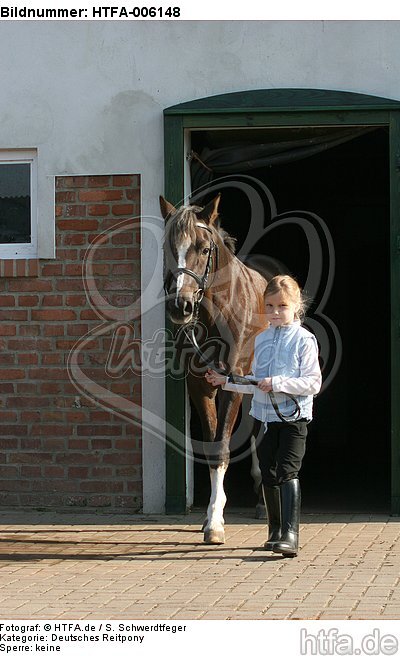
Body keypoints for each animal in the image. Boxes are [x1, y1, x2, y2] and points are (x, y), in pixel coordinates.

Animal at [160, 194, 269, 544]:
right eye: (168, 247)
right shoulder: (200, 385)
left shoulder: (232, 385)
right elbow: (211, 448)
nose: (180, 306)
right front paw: (212, 515)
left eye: (204, 249)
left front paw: (216, 525)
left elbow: (222, 447)